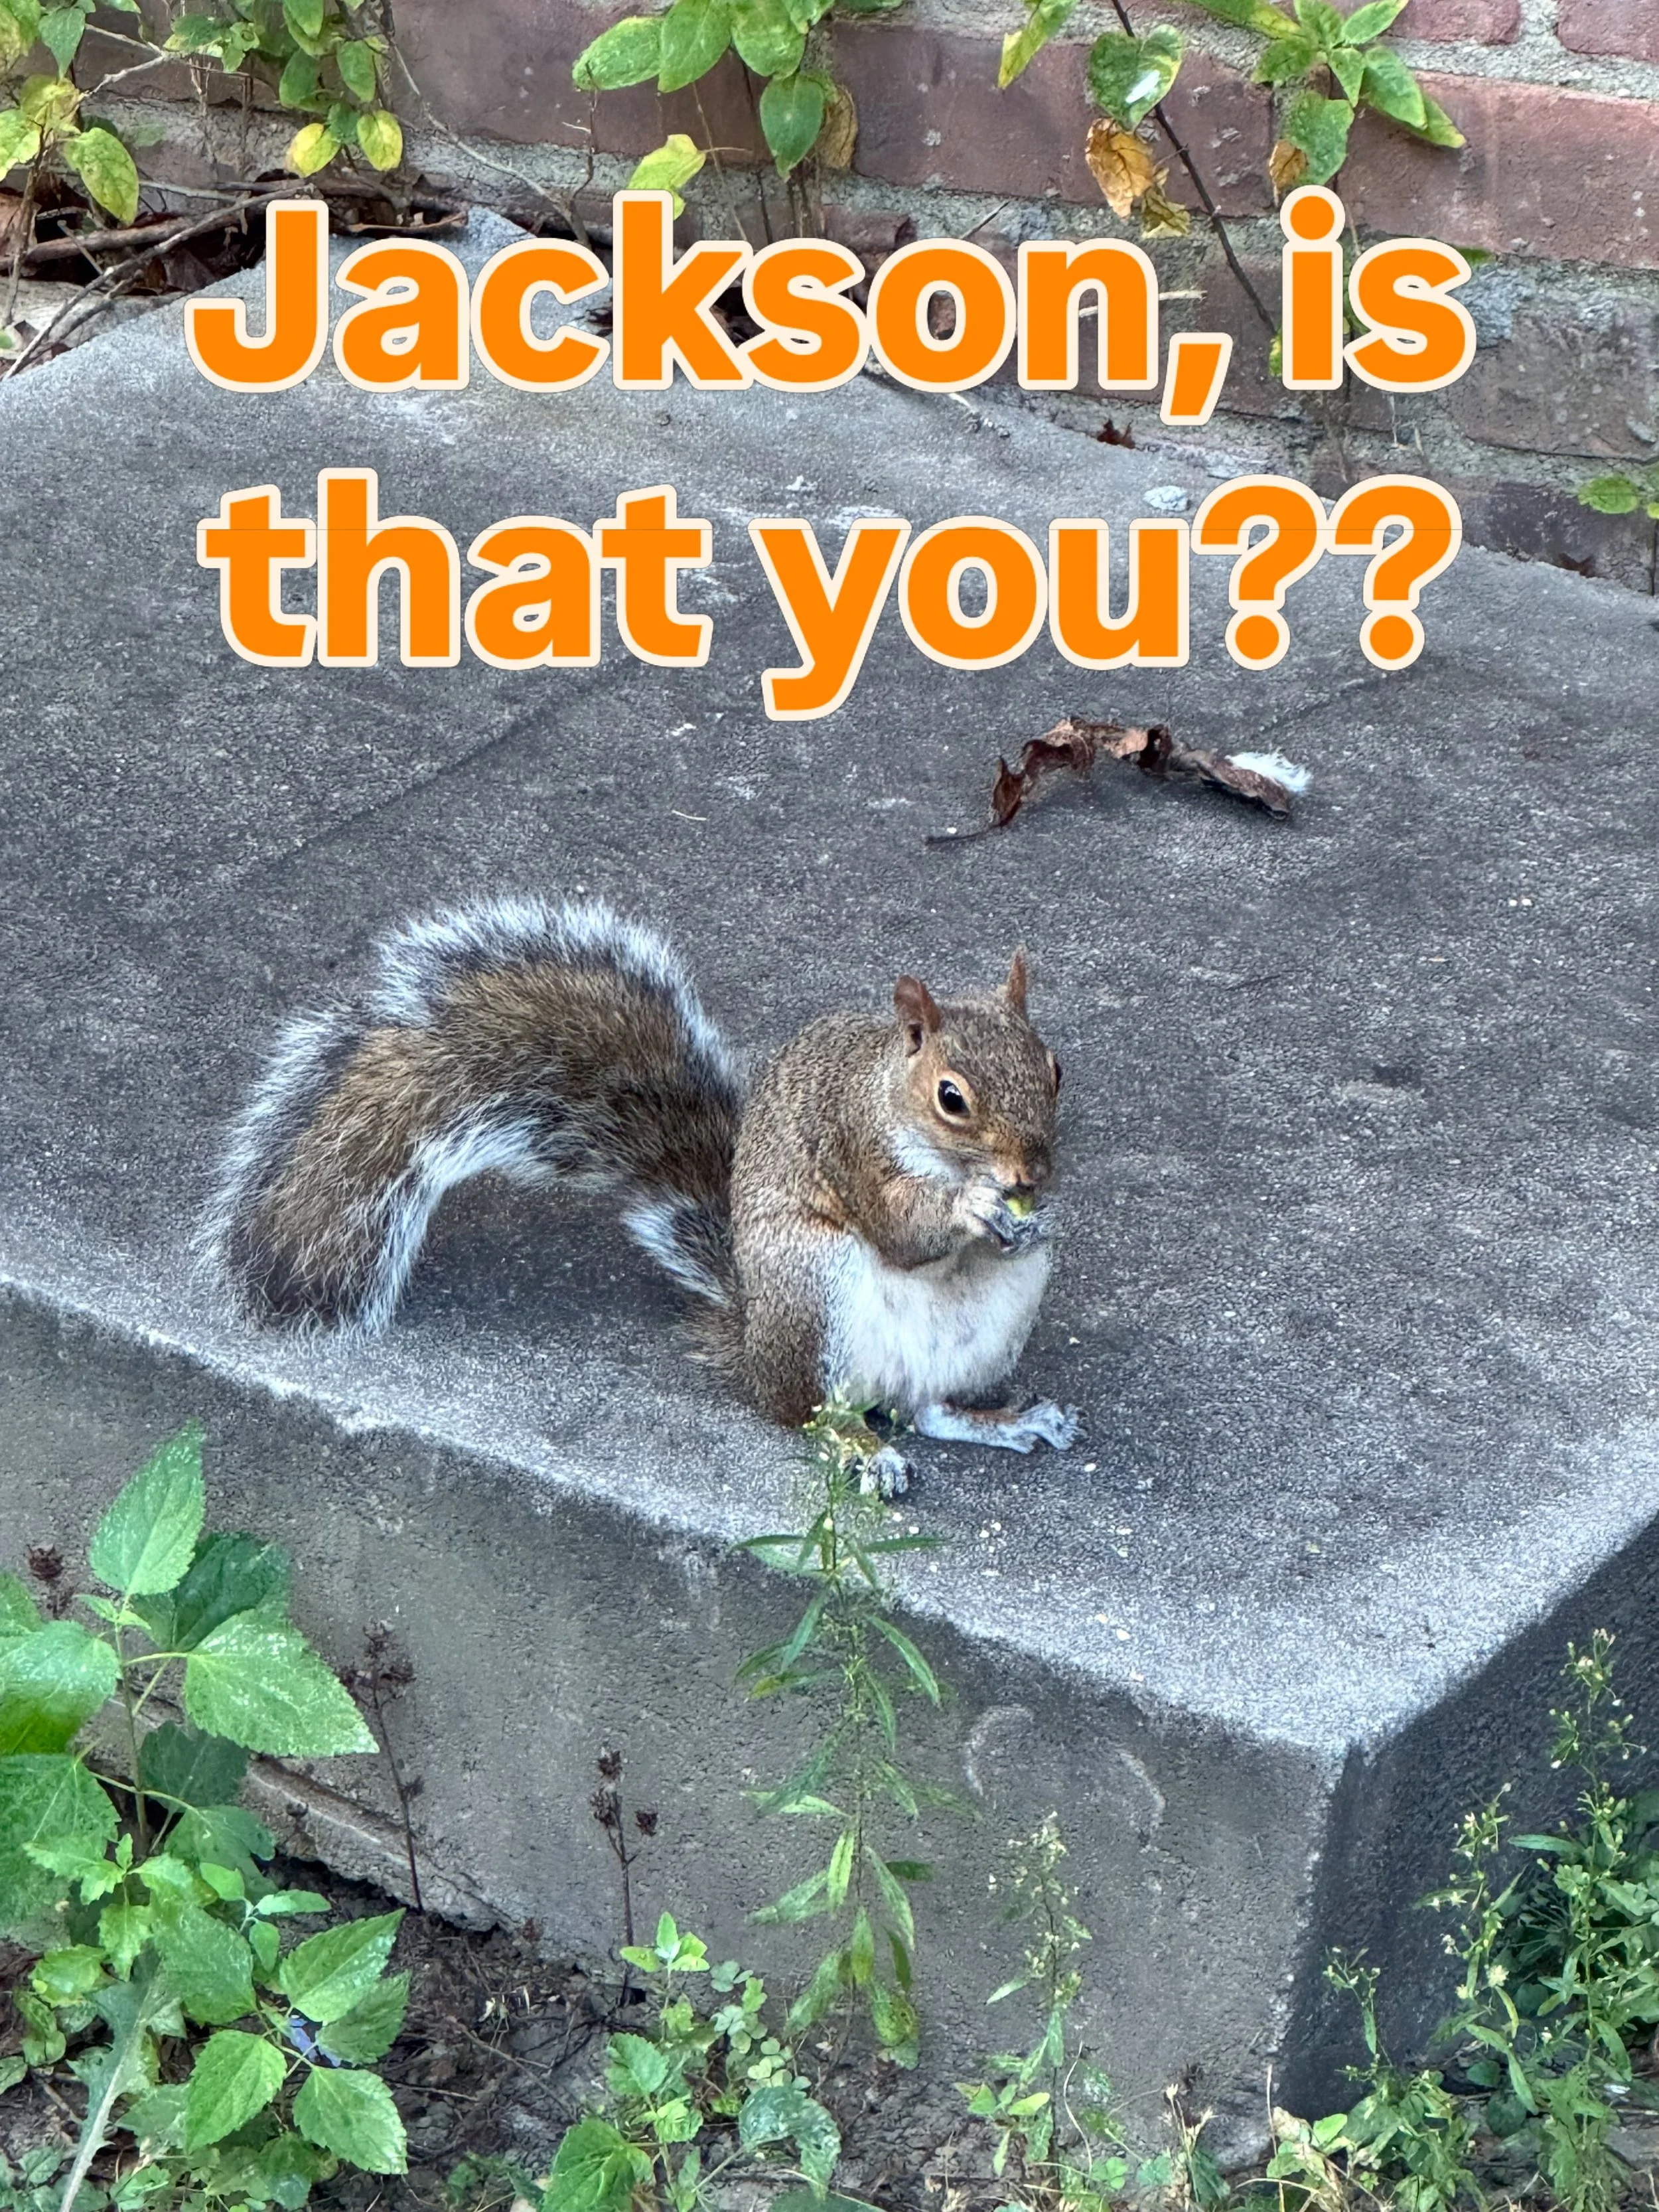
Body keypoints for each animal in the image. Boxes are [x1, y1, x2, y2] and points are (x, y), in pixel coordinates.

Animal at [202, 898, 1080, 1492]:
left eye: (1054, 1068)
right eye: (951, 1097)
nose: (1031, 1175)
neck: (895, 1104)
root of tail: (752, 1336)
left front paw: (1042, 1218)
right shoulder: (851, 1146)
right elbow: (900, 1227)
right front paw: (969, 1211)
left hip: (988, 1327)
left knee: (926, 1407)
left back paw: (1001, 1417)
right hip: (812, 1284)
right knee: (807, 1413)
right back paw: (860, 1448)